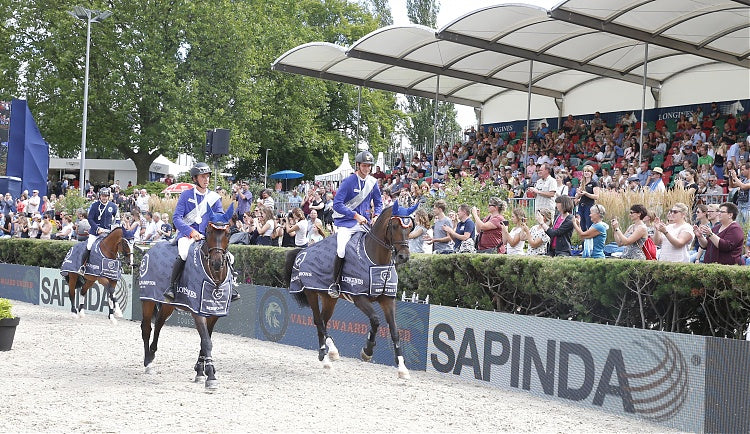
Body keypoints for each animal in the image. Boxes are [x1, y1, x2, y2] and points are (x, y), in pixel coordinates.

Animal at [140, 203, 235, 390]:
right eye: (209, 231)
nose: (217, 263)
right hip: (148, 300)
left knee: (159, 324)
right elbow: (206, 342)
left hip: (167, 305)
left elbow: (205, 341)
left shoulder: (213, 313)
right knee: (147, 328)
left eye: (227, 232)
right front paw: (210, 375)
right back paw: (148, 363)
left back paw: (152, 354)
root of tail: (151, 249)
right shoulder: (197, 312)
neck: (215, 277)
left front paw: (200, 371)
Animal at [284, 202, 420, 378]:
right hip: (311, 292)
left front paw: (402, 368)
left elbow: (395, 331)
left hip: (329, 298)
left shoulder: (387, 300)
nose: (404, 256)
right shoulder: (359, 298)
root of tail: (302, 251)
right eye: (395, 226)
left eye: (410, 227)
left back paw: (329, 352)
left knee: (323, 320)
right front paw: (367, 350)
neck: (376, 260)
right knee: (318, 321)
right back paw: (326, 356)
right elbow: (375, 320)